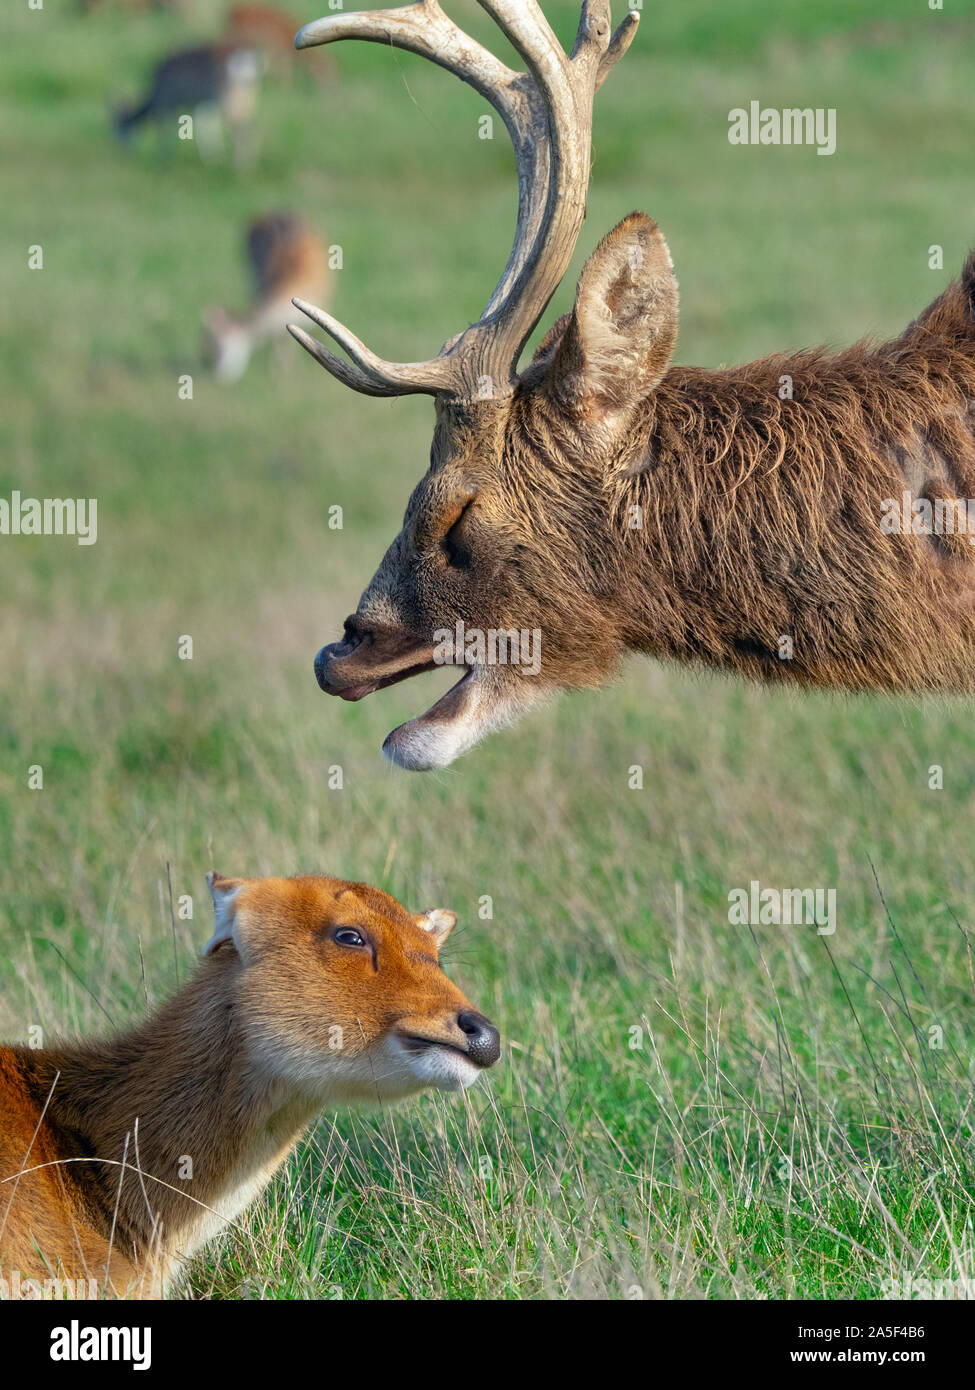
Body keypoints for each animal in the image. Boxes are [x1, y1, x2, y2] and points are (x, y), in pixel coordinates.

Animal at [115, 42, 263, 168]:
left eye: (118, 123)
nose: (120, 150)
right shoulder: (200, 104)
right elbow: (204, 127)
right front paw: (211, 158)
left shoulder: (166, 103)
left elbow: (166, 130)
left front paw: (164, 161)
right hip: (246, 98)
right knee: (250, 125)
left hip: (229, 99)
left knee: (243, 126)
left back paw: (241, 166)